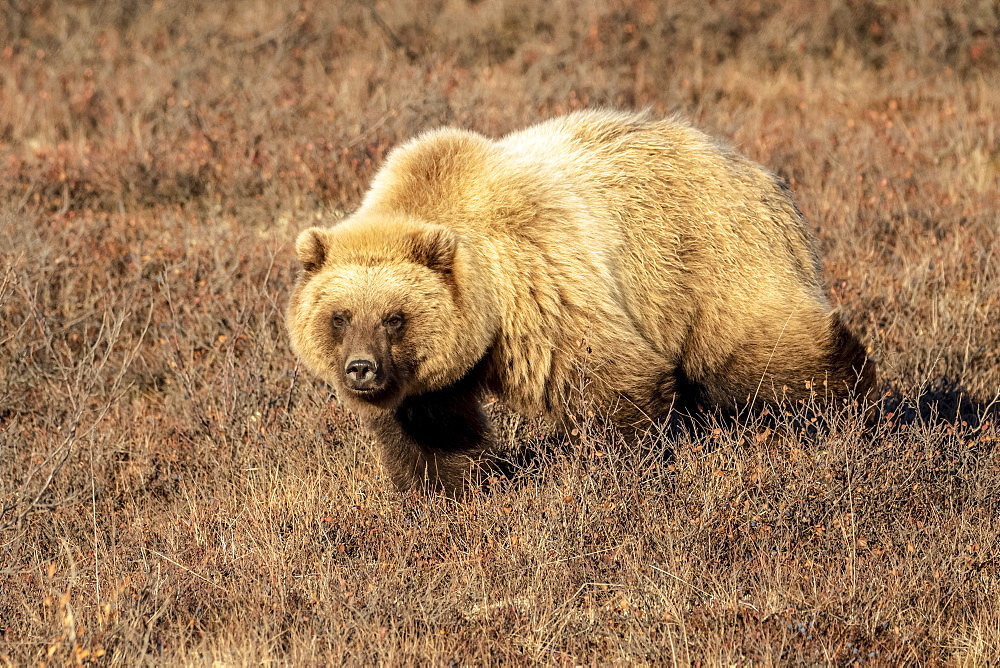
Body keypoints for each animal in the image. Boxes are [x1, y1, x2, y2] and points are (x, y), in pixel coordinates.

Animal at [286, 109, 872, 494]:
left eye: (395, 317)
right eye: (339, 317)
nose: (362, 368)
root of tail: (760, 171)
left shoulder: (538, 283)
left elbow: (610, 378)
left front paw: (626, 468)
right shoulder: (431, 375)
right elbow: (432, 432)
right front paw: (444, 493)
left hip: (711, 257)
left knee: (763, 354)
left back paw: (856, 410)